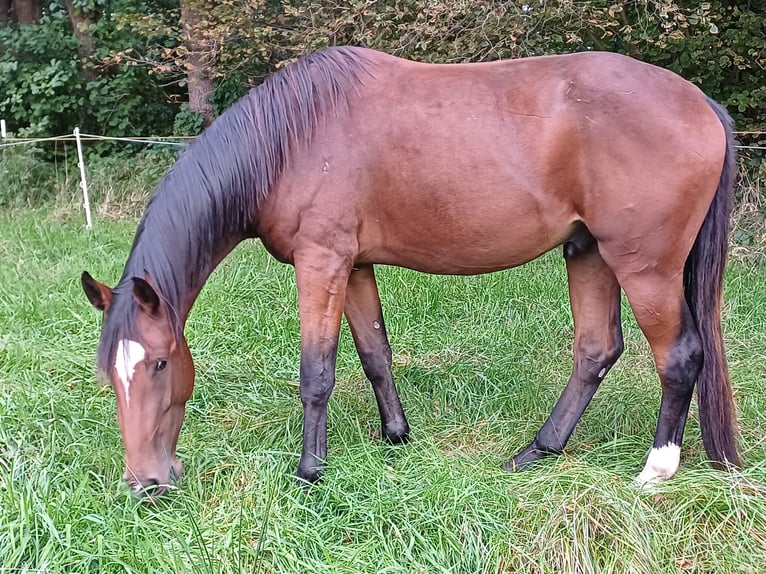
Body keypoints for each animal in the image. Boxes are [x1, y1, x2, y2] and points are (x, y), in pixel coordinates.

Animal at [81, 46, 740, 500]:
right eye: (108, 376)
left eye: (159, 364)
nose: (144, 484)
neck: (291, 138)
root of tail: (702, 103)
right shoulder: (353, 266)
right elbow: (374, 352)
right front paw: (395, 435)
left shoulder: (321, 261)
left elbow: (317, 371)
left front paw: (309, 471)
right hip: (589, 253)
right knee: (596, 350)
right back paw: (538, 451)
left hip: (643, 266)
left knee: (679, 355)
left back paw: (655, 469)